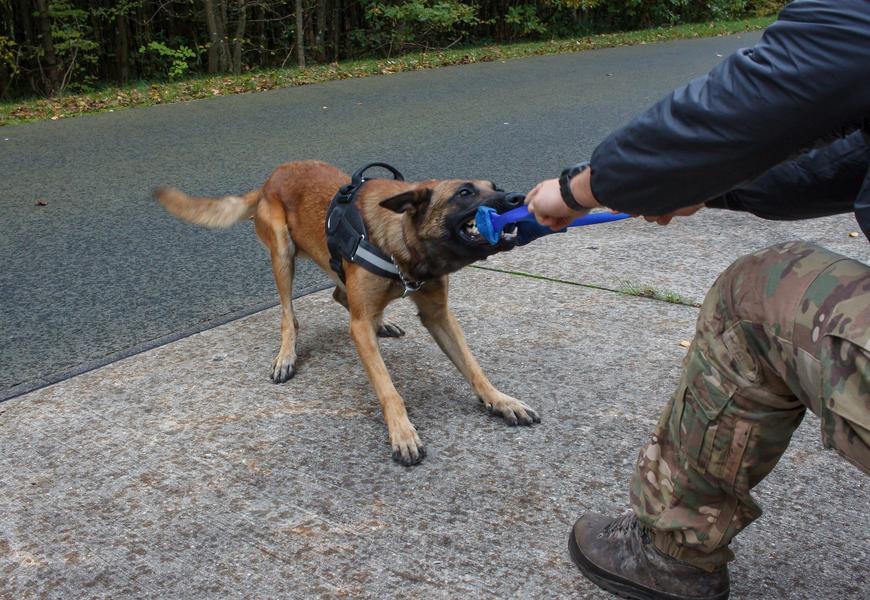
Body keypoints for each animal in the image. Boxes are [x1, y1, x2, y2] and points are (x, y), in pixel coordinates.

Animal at [155, 162, 540, 466]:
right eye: (464, 192)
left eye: (496, 187)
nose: (518, 198)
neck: (402, 244)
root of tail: (270, 178)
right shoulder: (360, 329)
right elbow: (388, 388)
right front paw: (402, 433)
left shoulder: (438, 316)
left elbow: (473, 367)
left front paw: (501, 401)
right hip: (282, 252)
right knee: (290, 316)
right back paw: (286, 355)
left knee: (340, 294)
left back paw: (382, 322)